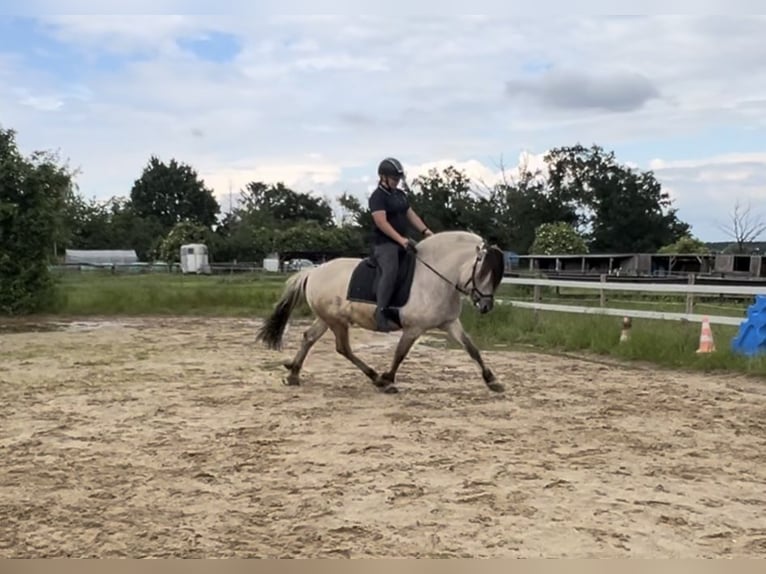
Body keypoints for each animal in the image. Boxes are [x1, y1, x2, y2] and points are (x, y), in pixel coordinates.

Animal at [255, 230, 507, 394]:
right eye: (483, 272)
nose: (486, 306)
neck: (435, 277)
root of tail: (313, 271)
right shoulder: (413, 328)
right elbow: (400, 354)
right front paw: (389, 380)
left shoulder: (450, 323)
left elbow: (472, 349)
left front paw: (492, 381)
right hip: (337, 322)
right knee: (343, 348)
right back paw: (376, 378)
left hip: (327, 319)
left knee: (309, 338)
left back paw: (293, 374)